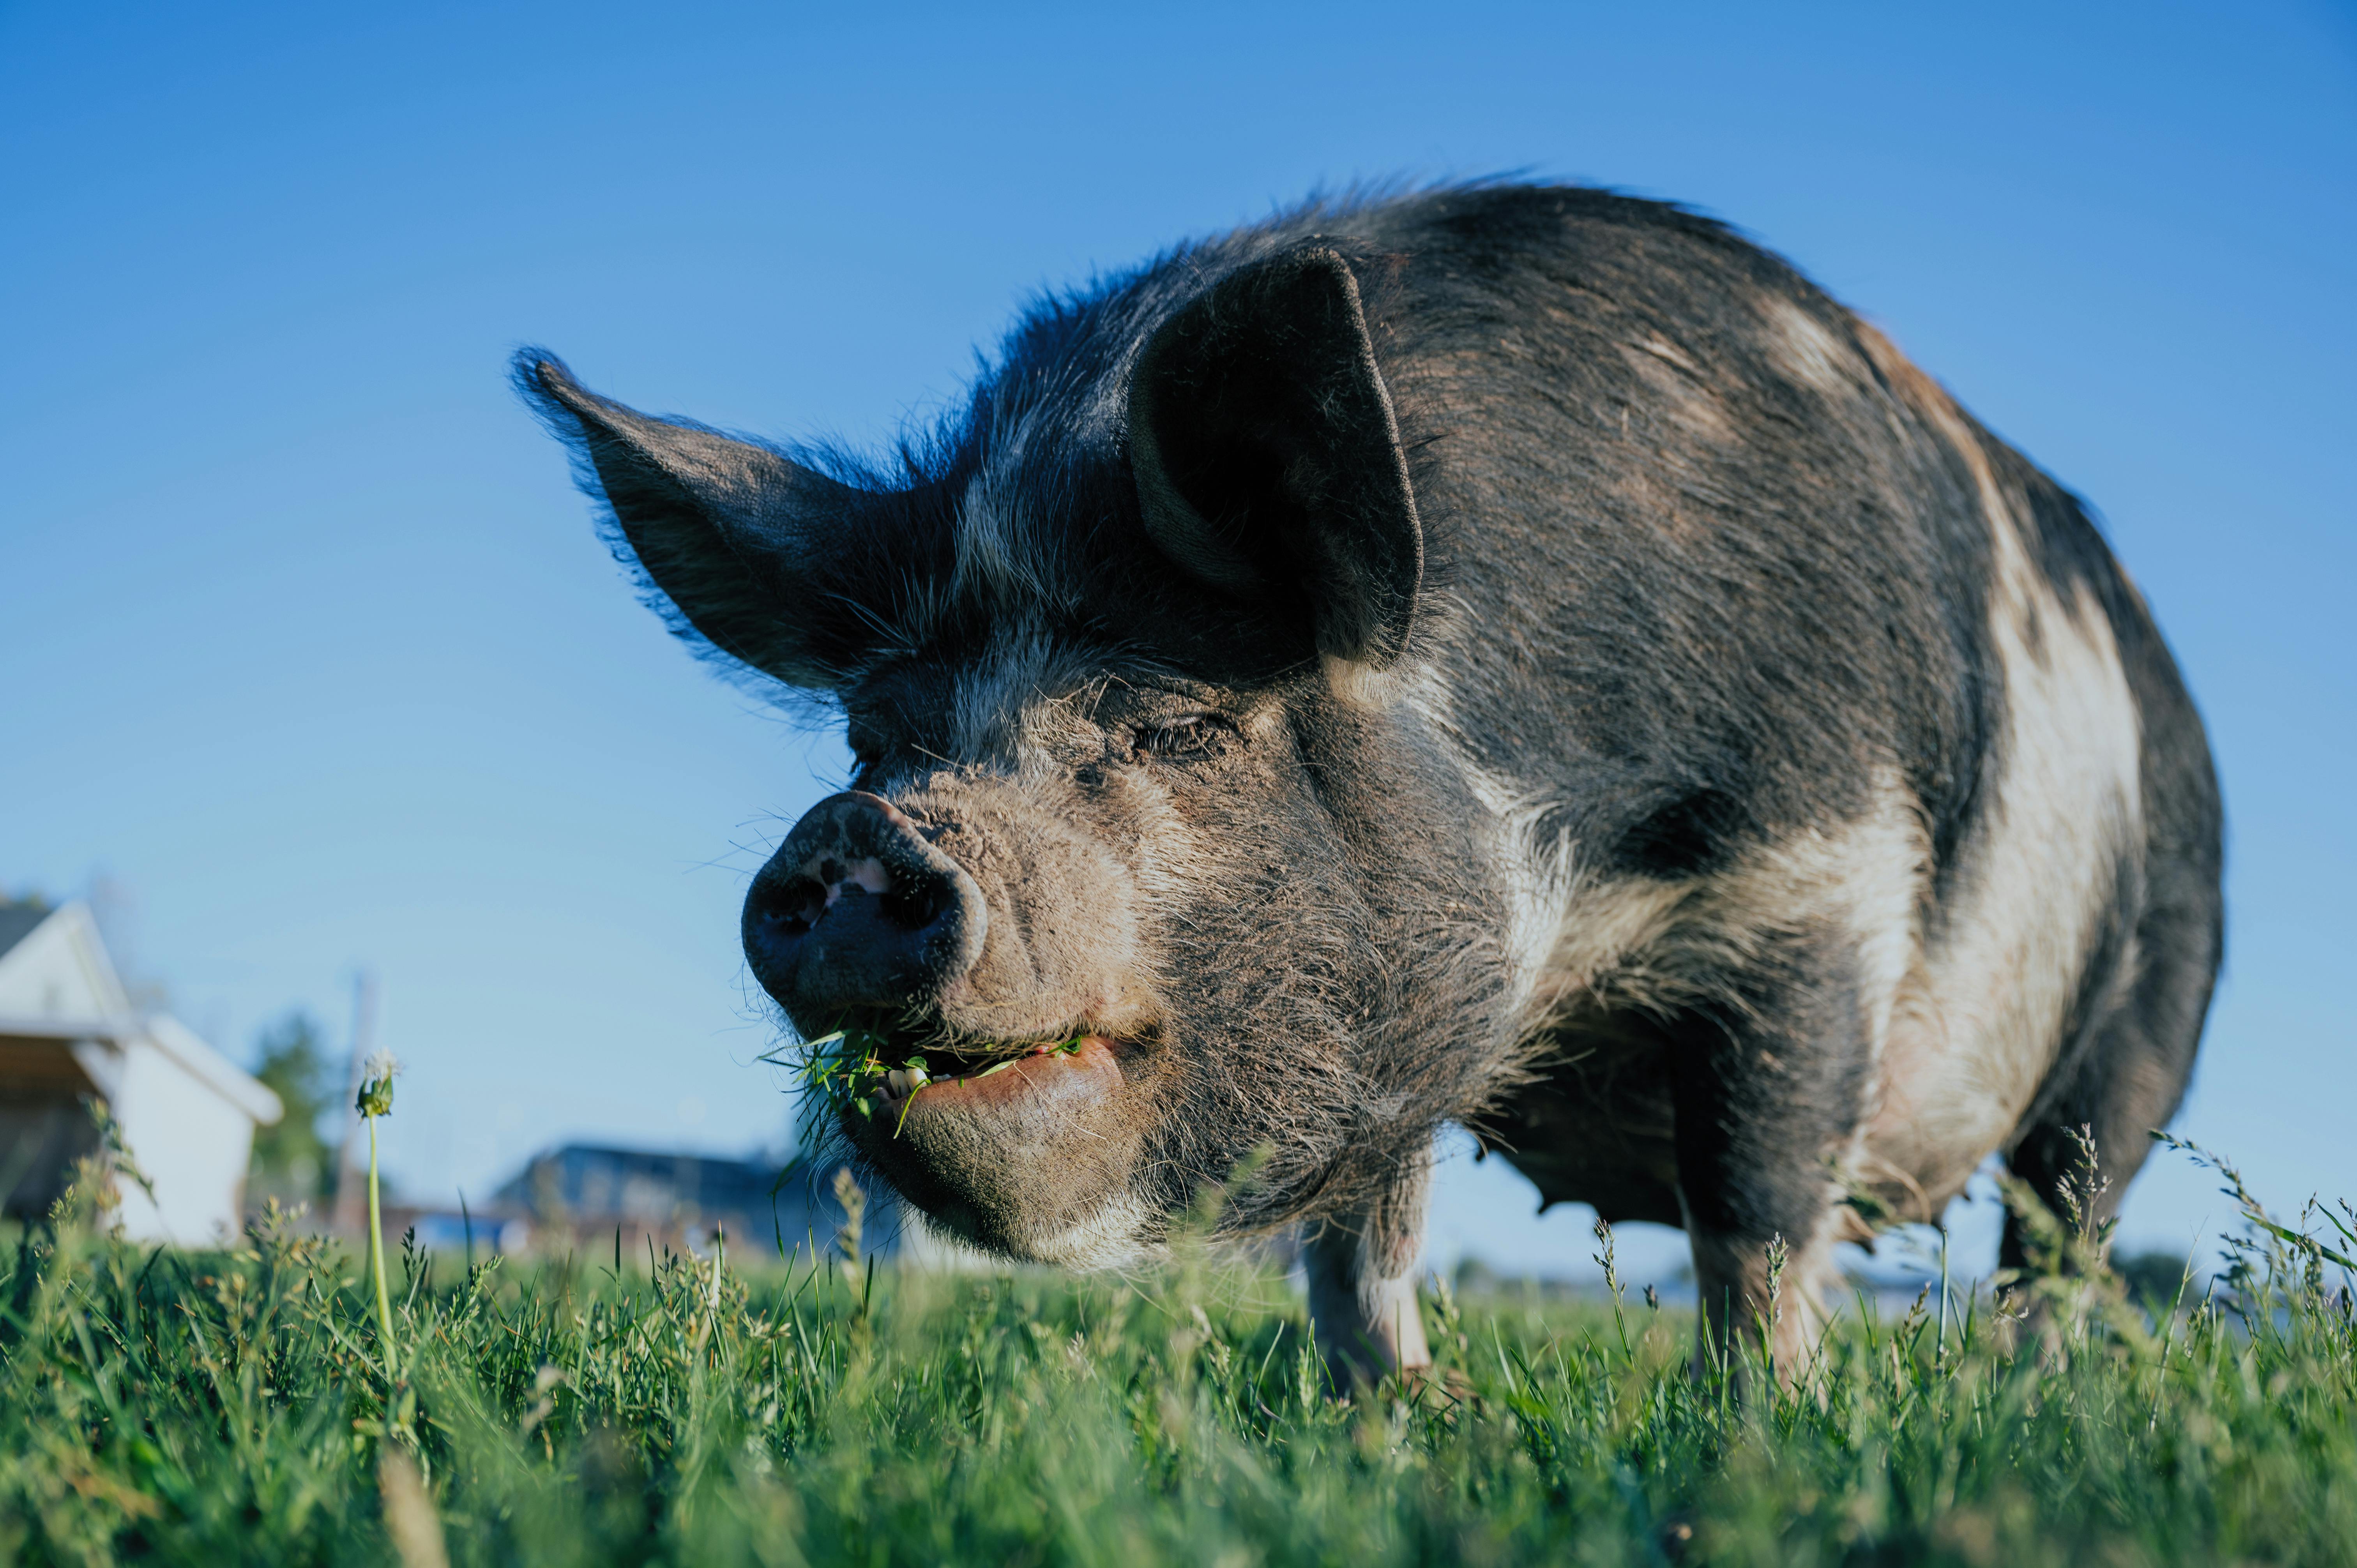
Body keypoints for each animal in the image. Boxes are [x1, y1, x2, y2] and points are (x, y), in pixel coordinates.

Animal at [521, 180, 2225, 1386]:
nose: (864, 833)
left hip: (2154, 1001)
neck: (1579, 907)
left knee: (2059, 1230)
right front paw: (1395, 1414)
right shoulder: (1398, 999)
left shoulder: (1819, 876)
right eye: (873, 739)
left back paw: (2015, 1400)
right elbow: (1358, 1239)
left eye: (1183, 724)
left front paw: (1759, 1426)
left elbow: (1752, 1203)